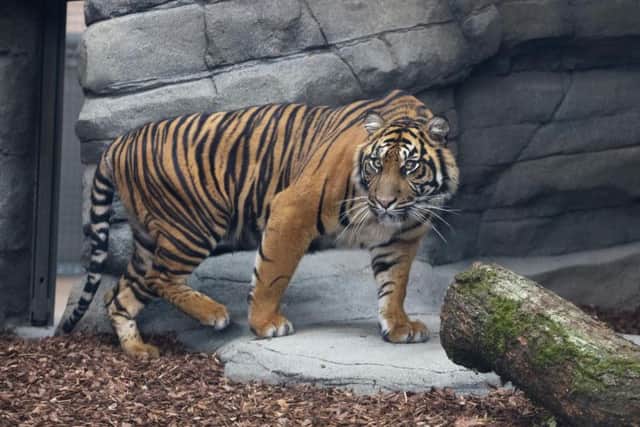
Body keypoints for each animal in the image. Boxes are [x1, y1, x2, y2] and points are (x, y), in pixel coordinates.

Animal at [61, 89, 459, 358]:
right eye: (377, 164)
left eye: (409, 167)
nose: (385, 202)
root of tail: (120, 142)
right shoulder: (292, 208)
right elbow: (272, 273)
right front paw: (266, 323)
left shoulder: (401, 237)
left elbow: (395, 283)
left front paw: (398, 326)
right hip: (193, 227)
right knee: (160, 278)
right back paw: (215, 314)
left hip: (148, 239)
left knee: (119, 294)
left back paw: (138, 349)